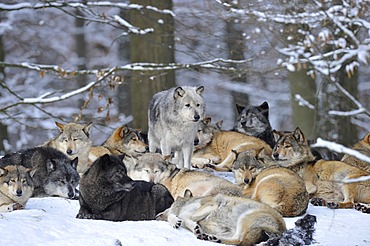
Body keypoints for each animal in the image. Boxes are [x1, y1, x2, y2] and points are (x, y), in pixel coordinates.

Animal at [156, 190, 286, 246]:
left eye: (167, 206)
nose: (156, 216)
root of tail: (282, 230)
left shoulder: (210, 205)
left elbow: (188, 218)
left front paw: (195, 228)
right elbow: (175, 217)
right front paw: (177, 222)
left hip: (245, 217)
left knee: (240, 240)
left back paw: (211, 238)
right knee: (239, 240)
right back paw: (211, 238)